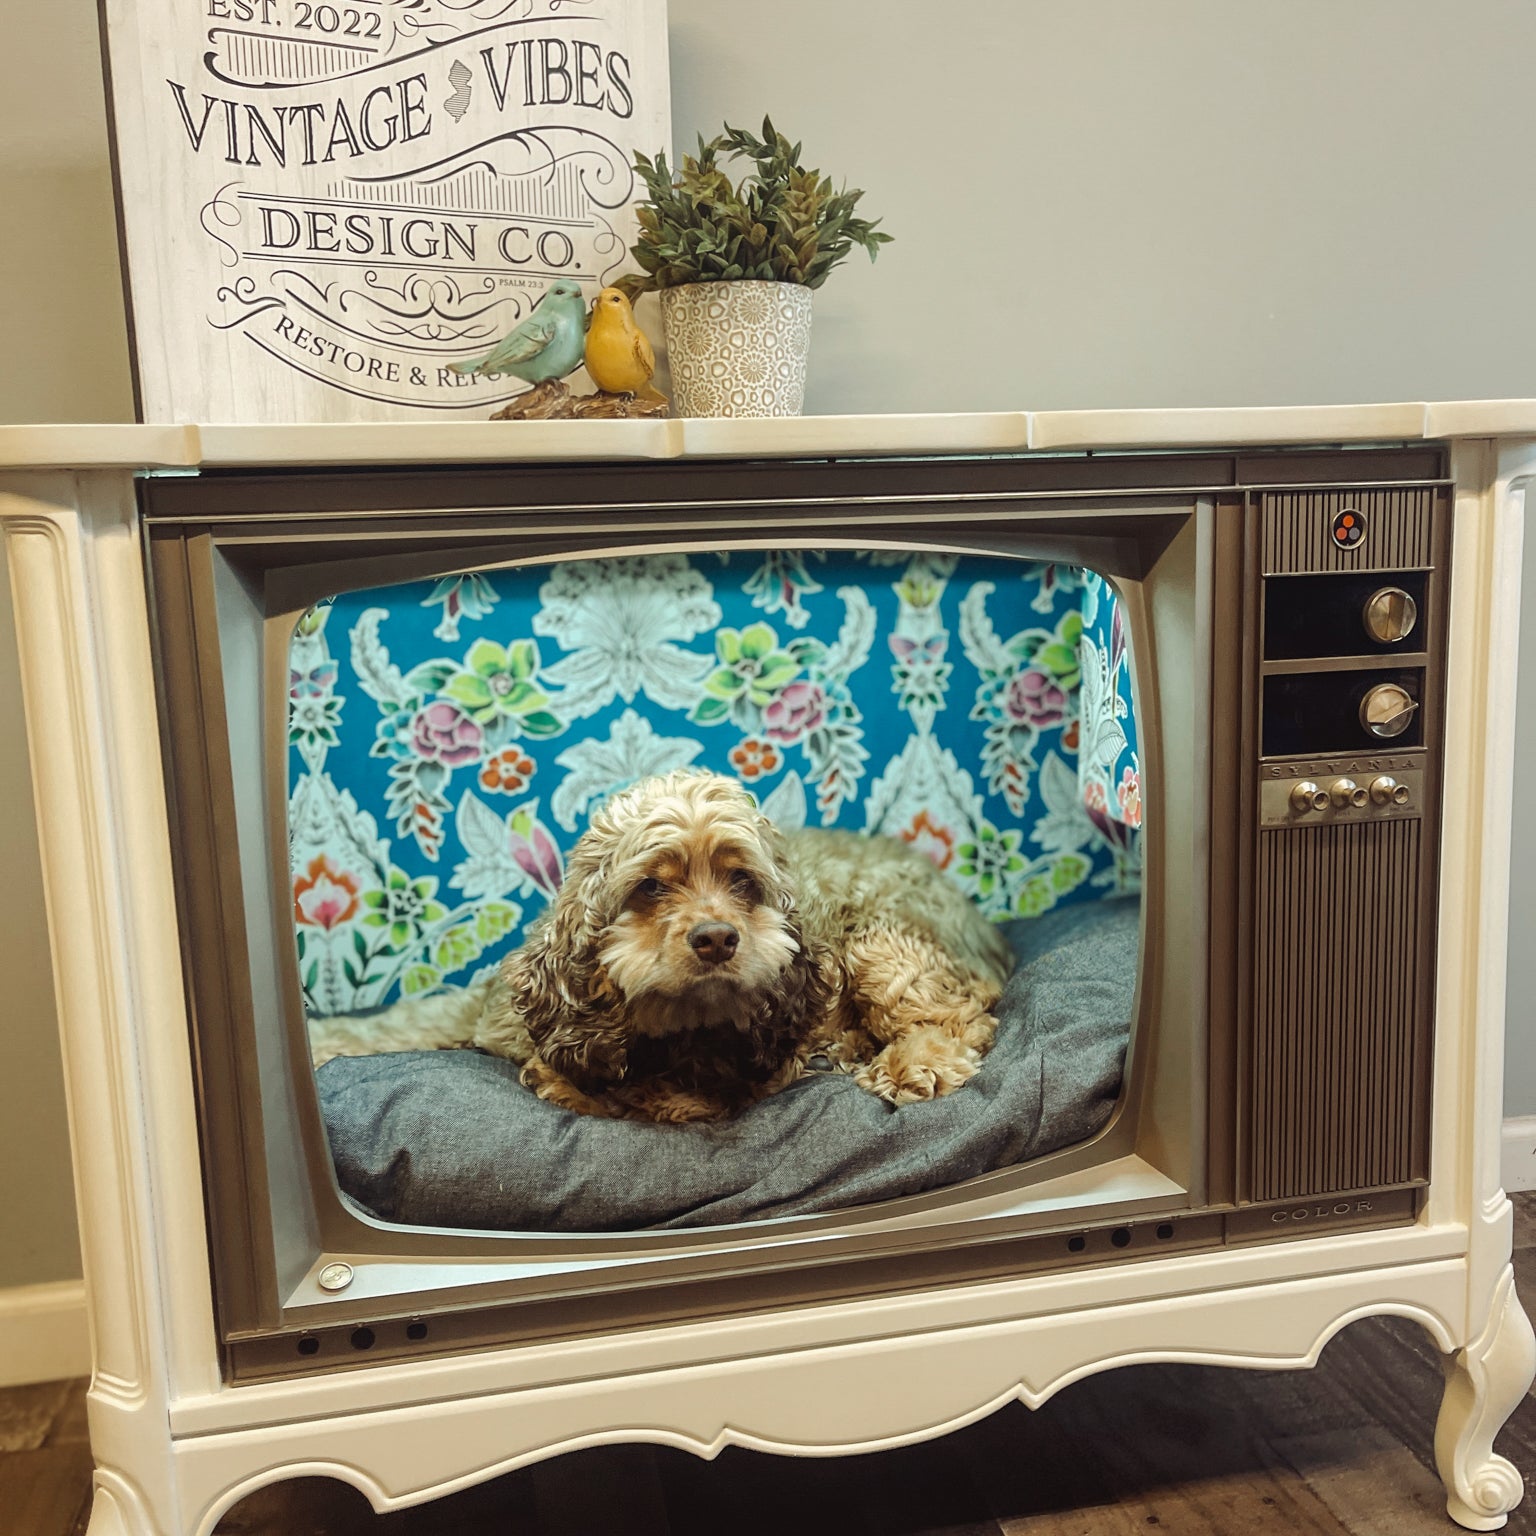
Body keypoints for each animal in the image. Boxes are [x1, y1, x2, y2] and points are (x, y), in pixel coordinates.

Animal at [307, 768, 1013, 1118]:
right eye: (650, 886)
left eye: (741, 881)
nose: (717, 939)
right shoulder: (495, 1014)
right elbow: (405, 1022)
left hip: (879, 944)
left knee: (966, 1015)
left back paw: (911, 1063)